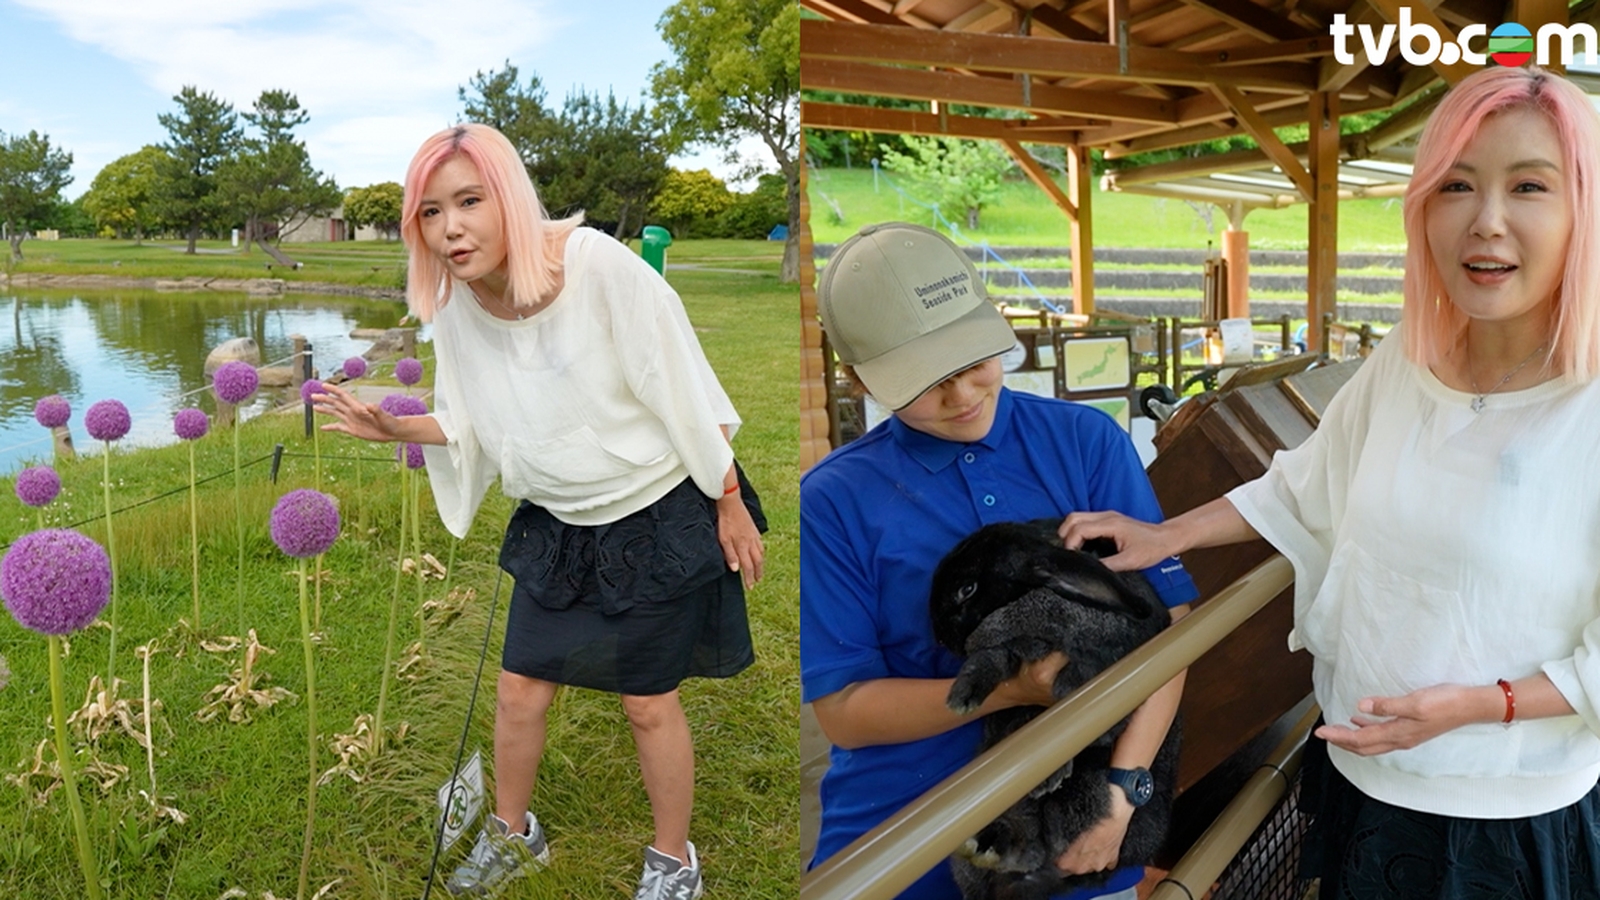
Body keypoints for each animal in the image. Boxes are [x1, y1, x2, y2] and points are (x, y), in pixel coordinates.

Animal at [934, 518, 1184, 896]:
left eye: (967, 589)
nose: (939, 637)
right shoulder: (1015, 658)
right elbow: (994, 658)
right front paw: (964, 694)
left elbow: (1051, 605)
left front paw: (985, 633)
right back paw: (982, 846)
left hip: (1087, 791)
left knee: (1040, 847)